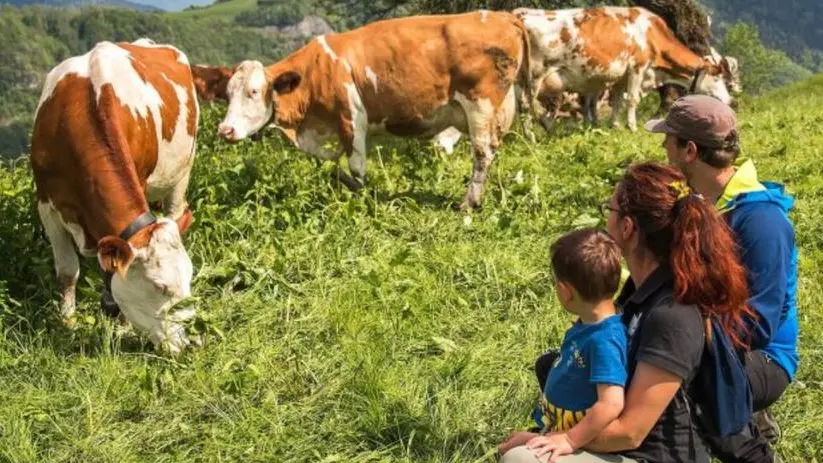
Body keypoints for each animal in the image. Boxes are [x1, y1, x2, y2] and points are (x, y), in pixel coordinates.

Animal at [32, 39, 201, 356]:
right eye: (160, 287)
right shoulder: (46, 204)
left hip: (183, 170)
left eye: (188, 281)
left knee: (175, 208)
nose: (188, 344)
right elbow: (67, 271)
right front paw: (68, 322)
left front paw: (122, 325)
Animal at [212, 11, 536, 210]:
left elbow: (356, 166)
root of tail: (502, 15)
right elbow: (331, 164)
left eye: (254, 92)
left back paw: (469, 202)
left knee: (482, 153)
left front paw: (364, 199)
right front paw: (343, 181)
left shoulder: (351, 118)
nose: (224, 130)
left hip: (480, 104)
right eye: (227, 94)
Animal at [520, 6, 736, 132]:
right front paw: (631, 127)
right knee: (528, 105)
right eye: (717, 78)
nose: (729, 101)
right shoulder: (637, 68)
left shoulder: (619, 76)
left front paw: (615, 126)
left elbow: (617, 102)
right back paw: (533, 136)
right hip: (535, 76)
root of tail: (520, 15)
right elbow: (632, 100)